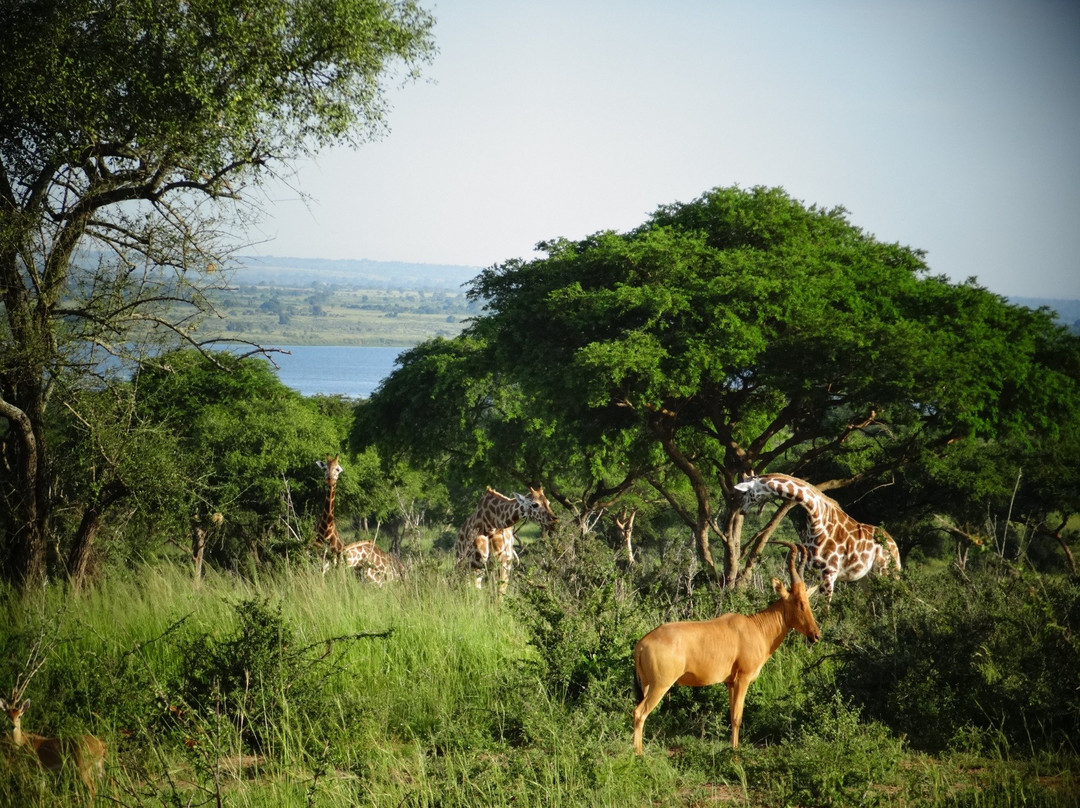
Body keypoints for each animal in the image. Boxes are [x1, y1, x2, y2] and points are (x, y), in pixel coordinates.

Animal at [630, 540, 816, 756]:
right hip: (661, 685)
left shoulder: (729, 682)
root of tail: (641, 644)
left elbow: (732, 714)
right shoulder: (743, 679)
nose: (815, 635)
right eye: (798, 601)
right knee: (639, 713)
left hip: (646, 684)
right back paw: (639, 754)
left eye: (807, 599)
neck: (754, 627)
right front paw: (735, 753)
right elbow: (737, 717)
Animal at [734, 470, 902, 604]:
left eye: (745, 492)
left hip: (885, 572)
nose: (741, 510)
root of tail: (894, 545)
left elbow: (824, 610)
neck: (817, 521)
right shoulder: (811, 571)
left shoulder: (829, 573)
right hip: (866, 578)